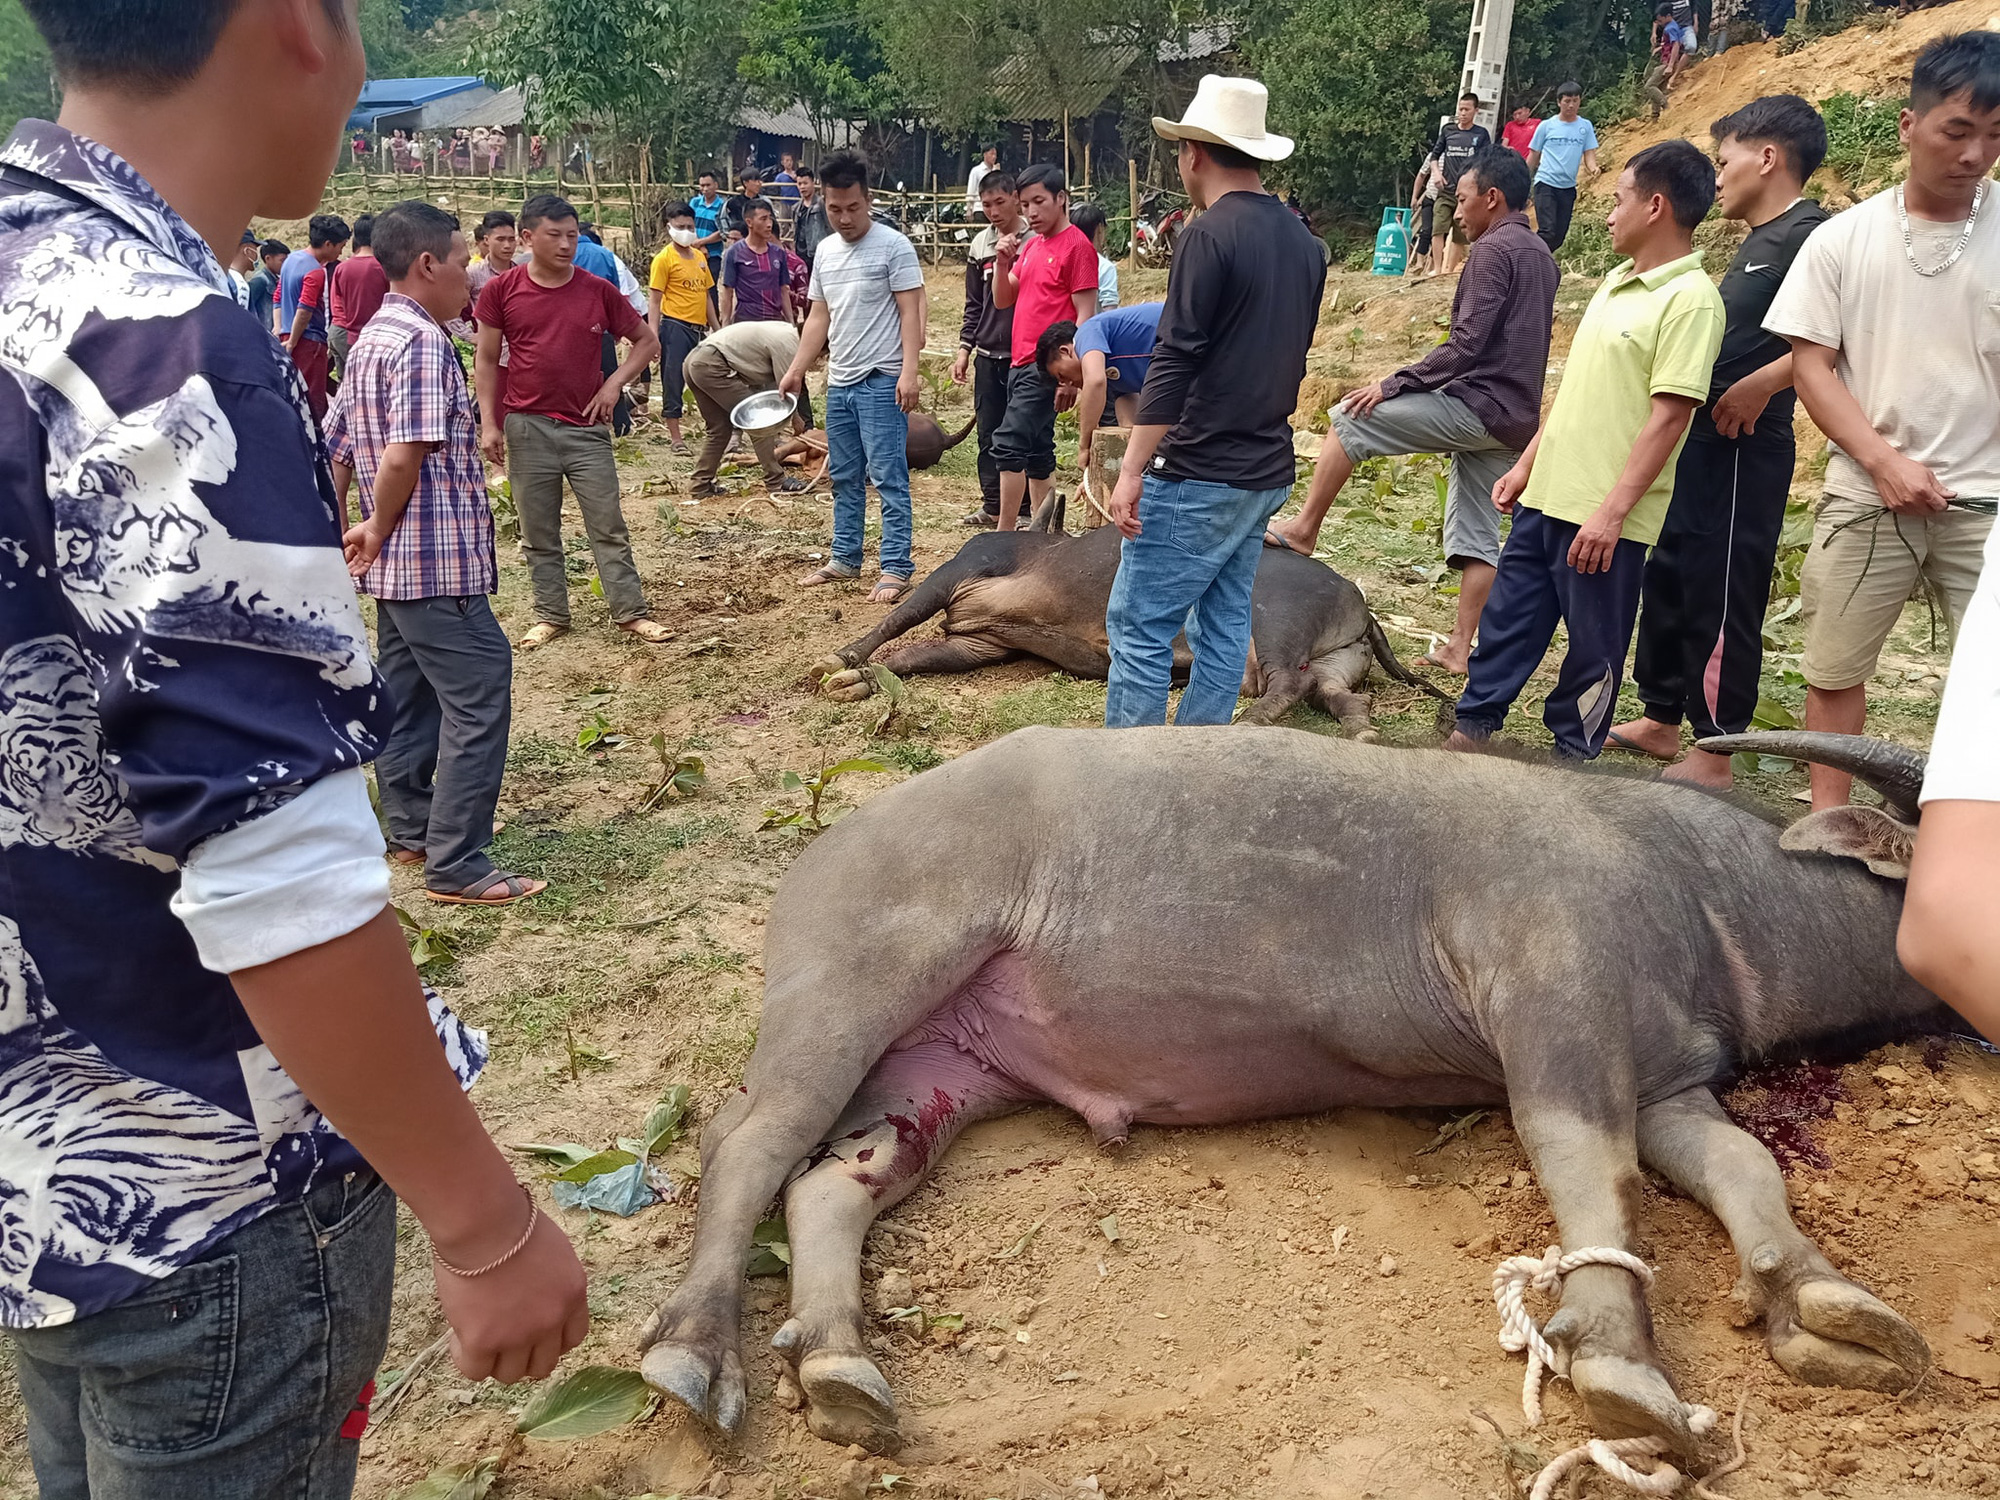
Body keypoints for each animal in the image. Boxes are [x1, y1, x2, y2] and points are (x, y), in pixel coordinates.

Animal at [640, 728, 1936, 1456]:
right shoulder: (1554, 1026)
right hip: (850, 990)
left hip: (941, 1074)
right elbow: (1595, 1184)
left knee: (831, 1185)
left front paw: (1821, 1301)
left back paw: (838, 1364)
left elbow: (1743, 1166)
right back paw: (695, 1347)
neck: (1692, 887)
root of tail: (839, 833)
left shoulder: (1669, 1085)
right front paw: (1622, 1363)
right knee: (747, 1147)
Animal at [804, 506, 1448, 736]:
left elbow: (899, 618)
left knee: (1287, 684)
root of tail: (1359, 601)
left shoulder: (968, 564)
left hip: (1274, 622)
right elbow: (910, 658)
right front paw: (854, 683)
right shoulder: (982, 644)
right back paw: (1361, 729)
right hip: (1336, 660)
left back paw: (1240, 724)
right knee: (1340, 695)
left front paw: (837, 661)